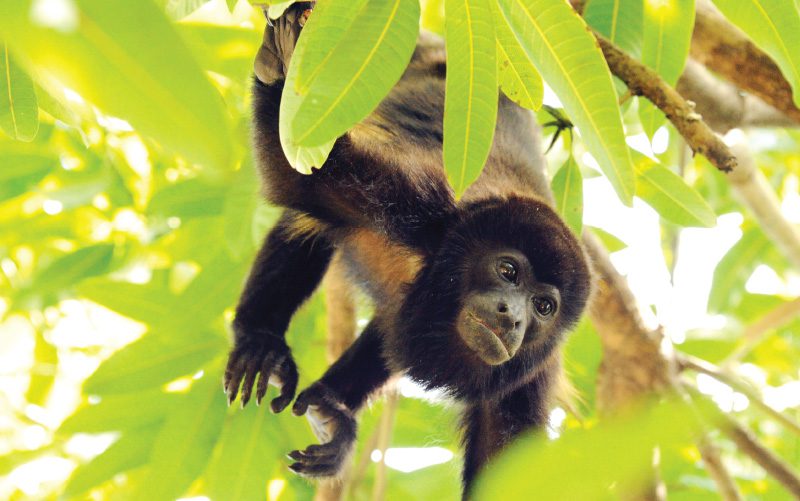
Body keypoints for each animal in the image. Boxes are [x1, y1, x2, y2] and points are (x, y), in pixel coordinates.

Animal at [223, 3, 591, 495]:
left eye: (544, 306)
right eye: (509, 271)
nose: (511, 317)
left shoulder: (529, 379)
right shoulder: (419, 202)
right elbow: (304, 181)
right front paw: (280, 66)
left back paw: (333, 408)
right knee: (307, 222)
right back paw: (260, 340)